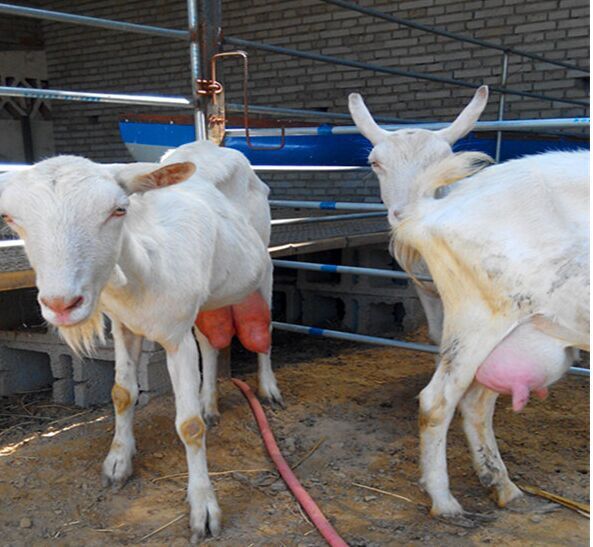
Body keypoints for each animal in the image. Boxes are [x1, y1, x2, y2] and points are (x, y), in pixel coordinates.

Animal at [0, 140, 284, 540]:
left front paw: (203, 508)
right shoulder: (125, 325)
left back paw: (268, 389)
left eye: (119, 210)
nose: (61, 304)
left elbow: (188, 426)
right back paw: (209, 402)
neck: (147, 266)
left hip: (265, 261)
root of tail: (212, 144)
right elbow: (121, 393)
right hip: (206, 296)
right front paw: (118, 462)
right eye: (10, 218)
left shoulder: (176, 339)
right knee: (209, 341)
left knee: (265, 327)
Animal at [346, 88, 588, 524]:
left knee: (474, 398)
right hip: (487, 317)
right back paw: (445, 499)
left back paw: (501, 485)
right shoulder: (430, 295)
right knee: (440, 399)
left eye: (444, 158)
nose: (398, 215)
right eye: (375, 162)